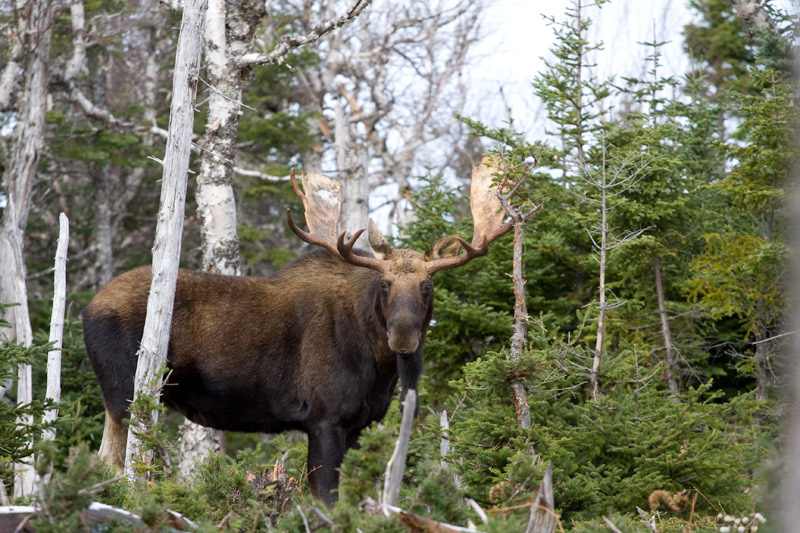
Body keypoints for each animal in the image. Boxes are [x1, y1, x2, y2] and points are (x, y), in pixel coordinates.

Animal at [82, 157, 512, 506]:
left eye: (427, 285)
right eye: (386, 284)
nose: (403, 336)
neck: (379, 368)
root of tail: (87, 308)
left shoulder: (359, 425)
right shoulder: (323, 419)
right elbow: (326, 500)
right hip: (127, 392)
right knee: (115, 464)